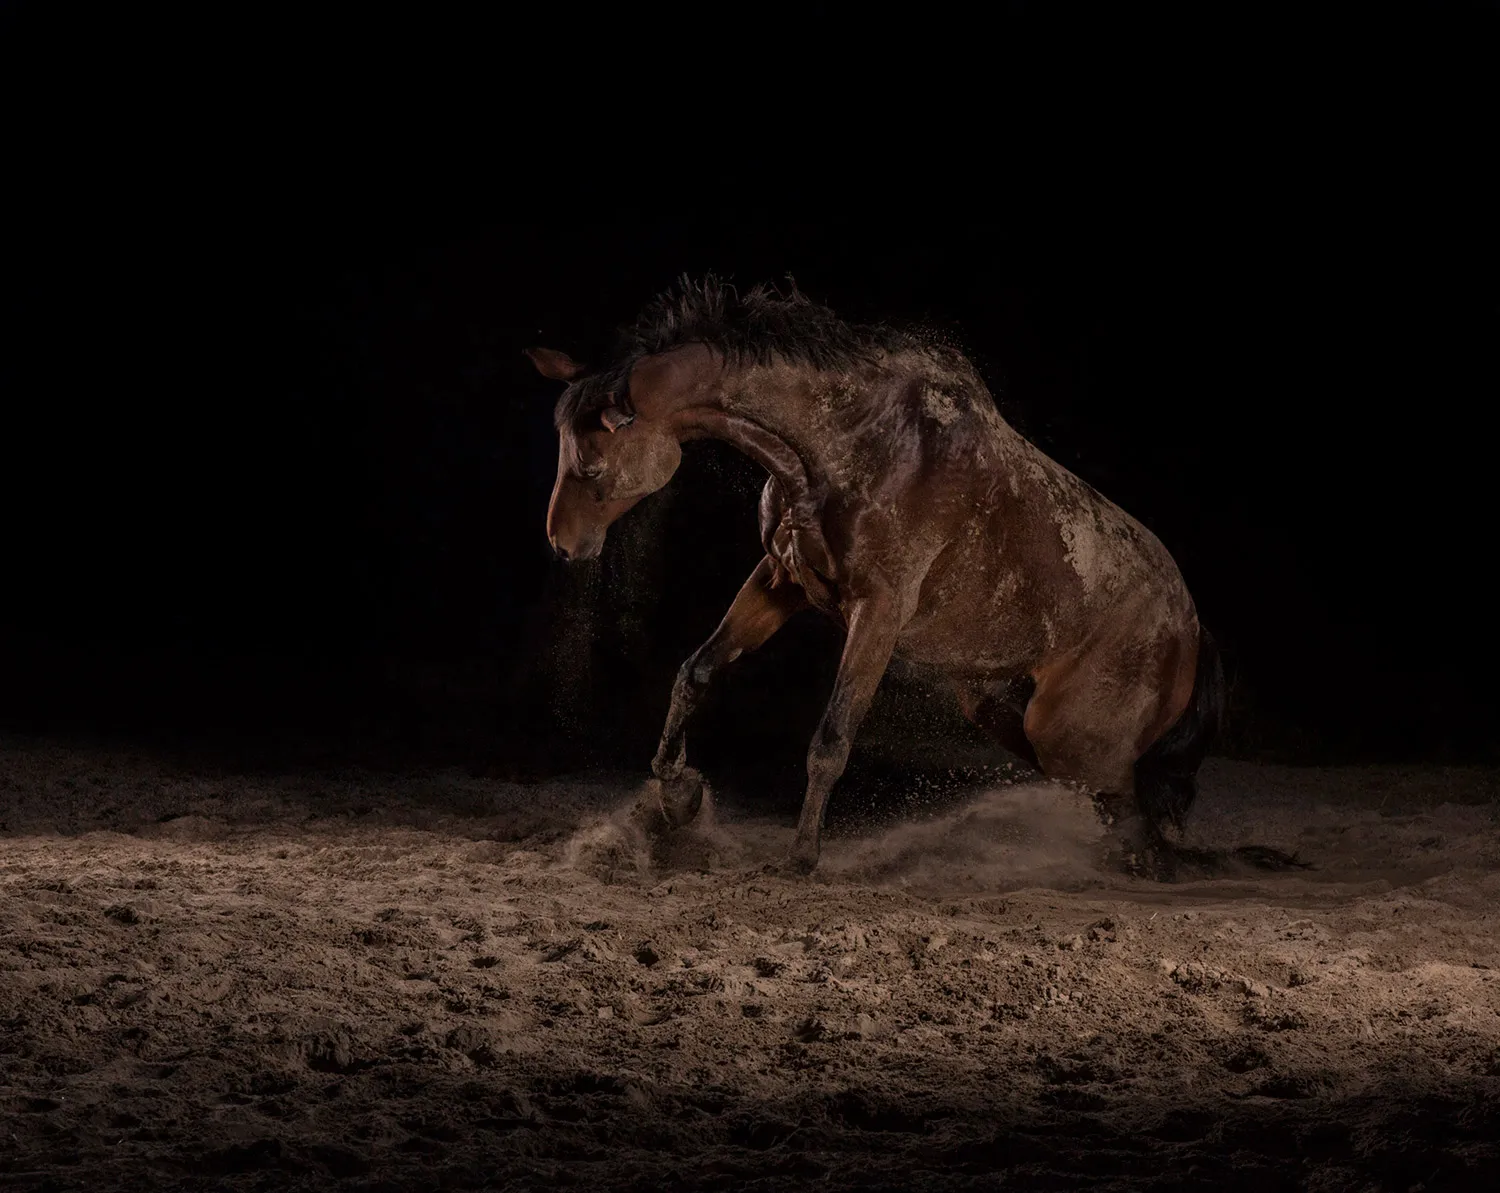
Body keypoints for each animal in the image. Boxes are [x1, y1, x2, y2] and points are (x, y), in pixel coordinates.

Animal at [527, 276, 1303, 880]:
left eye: (590, 466)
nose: (562, 547)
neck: (849, 441)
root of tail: (1192, 625)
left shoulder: (878, 612)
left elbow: (831, 738)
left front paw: (801, 857)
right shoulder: (780, 580)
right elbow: (695, 672)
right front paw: (674, 797)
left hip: (1067, 734)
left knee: (1135, 808)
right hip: (1001, 707)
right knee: (1126, 804)